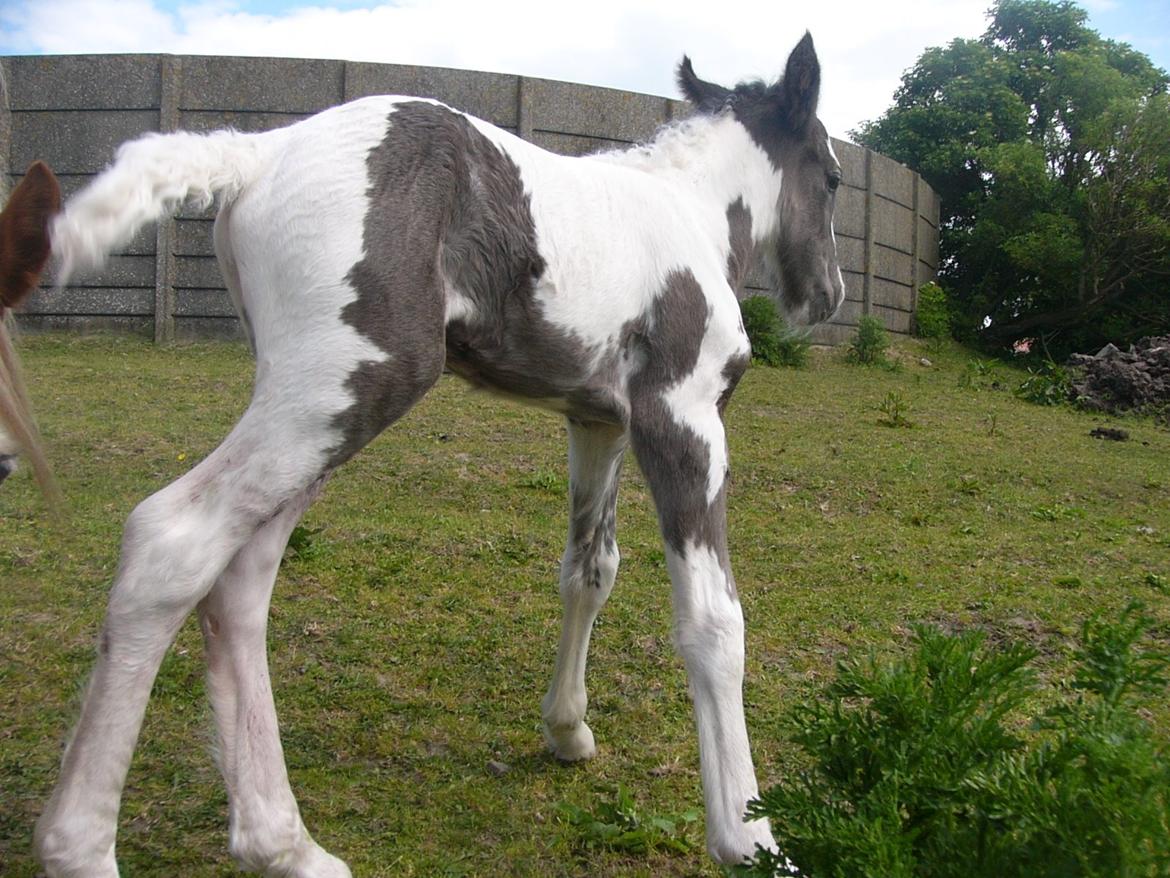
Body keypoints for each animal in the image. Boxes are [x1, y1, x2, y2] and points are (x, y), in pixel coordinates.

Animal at [32, 32, 847, 875]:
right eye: (833, 177)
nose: (830, 295)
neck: (691, 213)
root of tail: (260, 152)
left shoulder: (597, 423)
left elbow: (588, 573)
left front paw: (566, 729)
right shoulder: (682, 416)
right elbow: (715, 620)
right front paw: (750, 836)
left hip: (313, 401)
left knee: (239, 580)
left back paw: (284, 844)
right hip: (349, 386)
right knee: (173, 541)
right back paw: (83, 848)